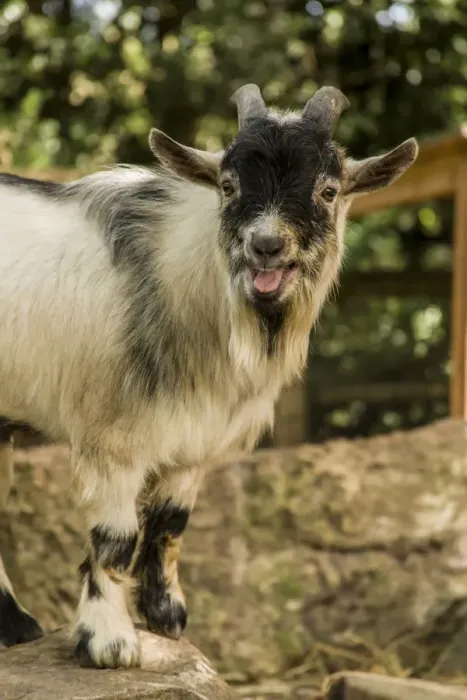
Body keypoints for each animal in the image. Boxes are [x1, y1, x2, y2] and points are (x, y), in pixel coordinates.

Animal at [0, 84, 418, 667]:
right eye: (227, 185)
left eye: (329, 190)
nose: (266, 246)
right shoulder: (112, 439)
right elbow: (115, 538)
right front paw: (109, 643)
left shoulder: (193, 443)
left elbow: (169, 526)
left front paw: (167, 619)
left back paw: (15, 626)